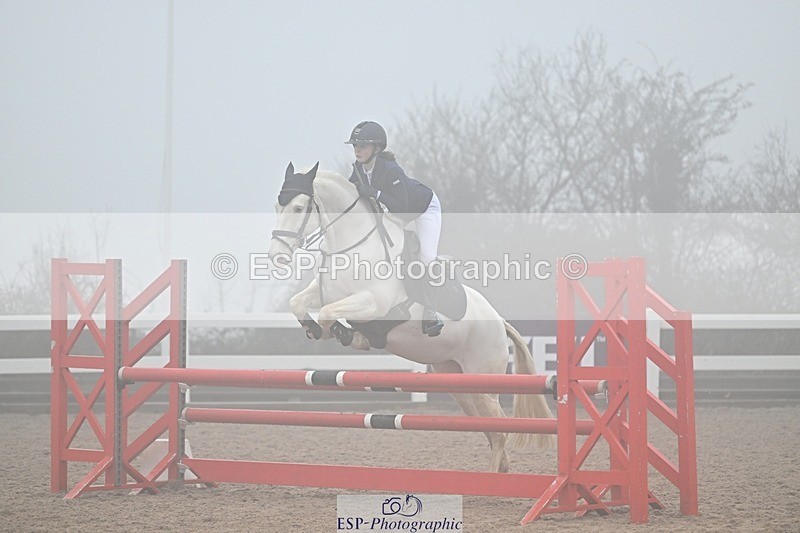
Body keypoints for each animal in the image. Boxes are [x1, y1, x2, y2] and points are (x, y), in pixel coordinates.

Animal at [269, 162, 554, 472]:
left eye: (298, 208)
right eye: (277, 206)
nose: (276, 256)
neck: (354, 245)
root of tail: (500, 322)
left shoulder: (373, 304)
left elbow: (327, 315)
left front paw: (348, 335)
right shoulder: (327, 295)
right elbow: (300, 303)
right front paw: (315, 329)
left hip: (484, 380)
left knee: (500, 431)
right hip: (458, 383)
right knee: (489, 430)